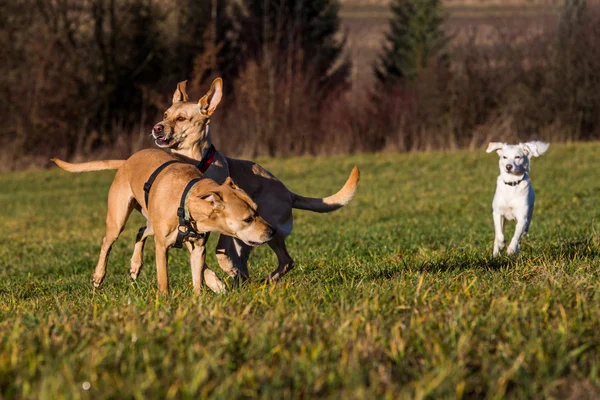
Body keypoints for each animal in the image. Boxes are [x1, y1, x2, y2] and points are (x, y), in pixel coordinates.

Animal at [52, 150, 274, 294]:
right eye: (247, 219)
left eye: (257, 211)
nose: (272, 232)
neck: (186, 200)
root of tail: (127, 160)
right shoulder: (162, 246)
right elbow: (163, 278)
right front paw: (165, 301)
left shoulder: (198, 247)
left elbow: (198, 277)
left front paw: (199, 300)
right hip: (118, 219)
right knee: (107, 242)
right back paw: (99, 276)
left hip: (150, 220)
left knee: (140, 231)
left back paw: (135, 265)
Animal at [149, 79, 360, 282]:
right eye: (165, 115)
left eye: (181, 118)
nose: (156, 127)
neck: (195, 160)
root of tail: (288, 193)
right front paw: (213, 279)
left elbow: (219, 247)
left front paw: (223, 268)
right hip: (248, 236)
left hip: (269, 230)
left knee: (286, 260)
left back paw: (262, 278)